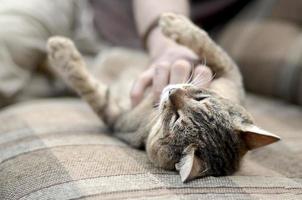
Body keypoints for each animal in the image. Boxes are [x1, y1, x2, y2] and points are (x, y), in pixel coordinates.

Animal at [47, 12, 280, 183]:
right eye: (201, 98)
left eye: (176, 119)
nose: (172, 91)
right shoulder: (231, 74)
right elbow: (208, 44)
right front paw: (175, 22)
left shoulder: (117, 118)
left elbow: (89, 87)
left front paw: (61, 50)